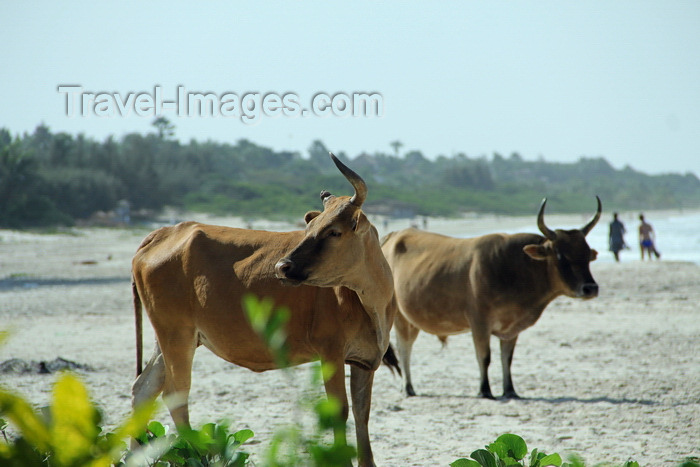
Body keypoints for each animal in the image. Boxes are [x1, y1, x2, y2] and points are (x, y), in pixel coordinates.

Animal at [131, 154, 394, 467]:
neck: (371, 300)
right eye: (309, 229)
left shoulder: (365, 360)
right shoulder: (330, 351)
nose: (282, 266)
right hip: (177, 335)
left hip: (169, 339)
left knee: (143, 390)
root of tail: (166, 231)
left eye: (334, 231)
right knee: (175, 395)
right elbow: (339, 411)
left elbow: (361, 413)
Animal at [380, 199, 600, 400]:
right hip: (400, 318)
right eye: (561, 256)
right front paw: (484, 390)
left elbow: (507, 359)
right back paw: (408, 388)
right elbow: (484, 357)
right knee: (405, 349)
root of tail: (393, 235)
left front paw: (510, 390)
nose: (590, 288)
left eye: (587, 254)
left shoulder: (511, 328)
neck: (514, 267)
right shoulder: (479, 322)